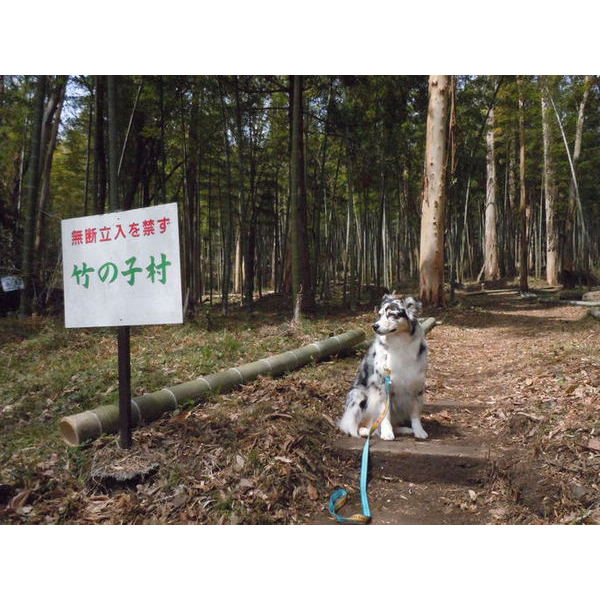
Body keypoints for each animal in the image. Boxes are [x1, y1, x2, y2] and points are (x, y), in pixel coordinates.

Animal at [340, 296, 428, 440]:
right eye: (380, 314)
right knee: (358, 426)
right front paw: (387, 433)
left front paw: (419, 431)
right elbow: (385, 415)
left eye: (392, 314)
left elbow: (415, 413)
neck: (399, 343)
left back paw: (404, 429)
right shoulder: (382, 387)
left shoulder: (417, 386)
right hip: (358, 394)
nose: (374, 326)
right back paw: (368, 431)